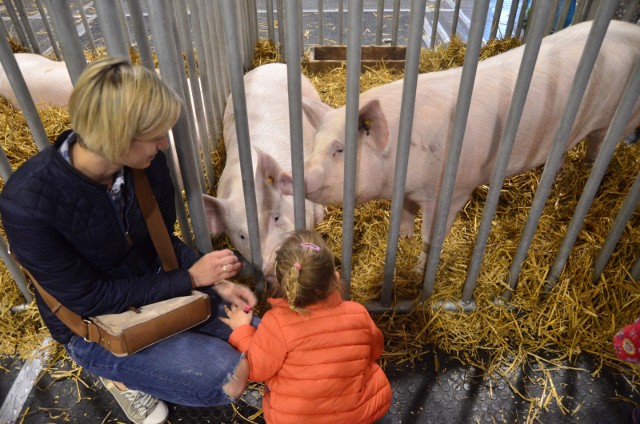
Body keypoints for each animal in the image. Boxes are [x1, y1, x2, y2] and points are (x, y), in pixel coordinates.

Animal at [278, 20, 640, 272]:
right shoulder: (408, 191)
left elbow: (431, 237)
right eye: (315, 143)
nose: (289, 176)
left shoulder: (452, 191)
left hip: (619, 121)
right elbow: (406, 216)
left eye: (340, 149)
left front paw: (418, 269)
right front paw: (403, 240)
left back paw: (588, 173)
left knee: (599, 146)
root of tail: (631, 30)